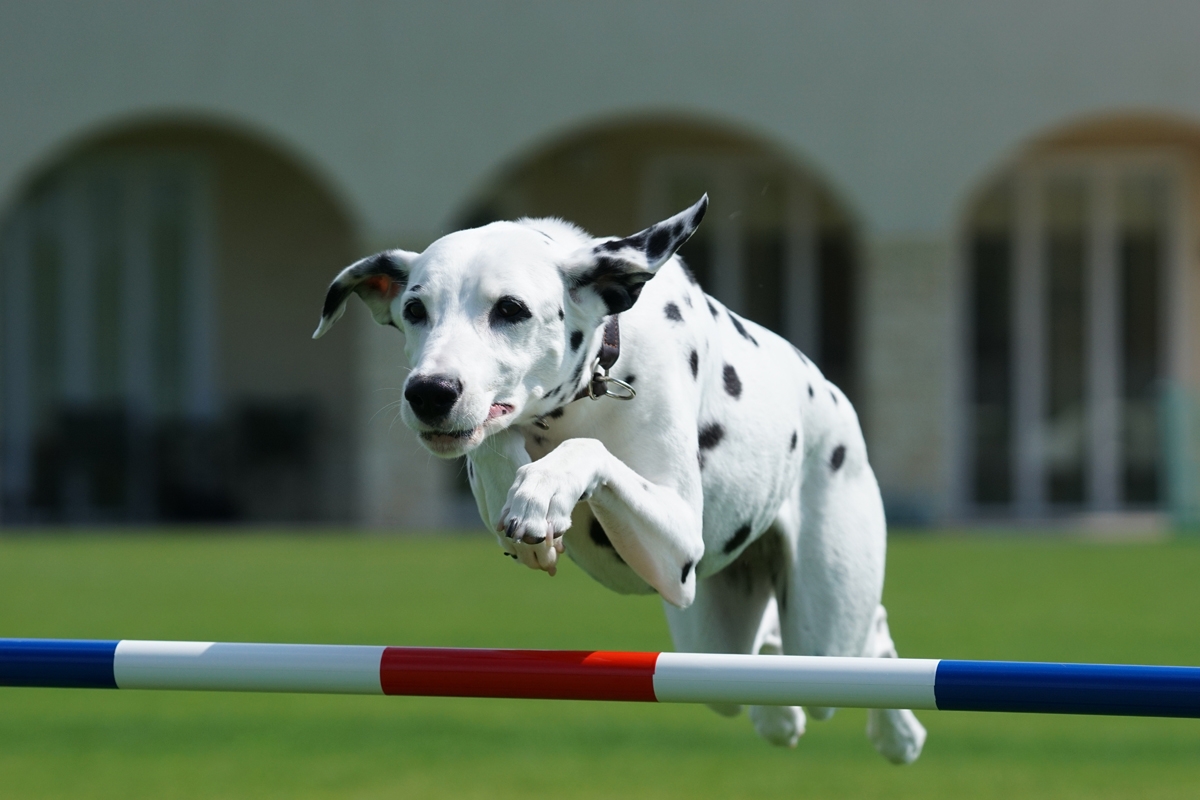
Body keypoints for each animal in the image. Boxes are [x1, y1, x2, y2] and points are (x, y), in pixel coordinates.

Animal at [312, 194, 926, 762]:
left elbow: (587, 452)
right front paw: (525, 497)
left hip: (824, 629)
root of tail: (835, 401)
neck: (588, 389)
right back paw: (780, 717)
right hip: (715, 640)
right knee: (761, 658)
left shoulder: (679, 543)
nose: (430, 392)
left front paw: (543, 492)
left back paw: (898, 731)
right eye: (415, 308)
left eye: (511, 308)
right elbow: (498, 448)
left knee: (867, 632)